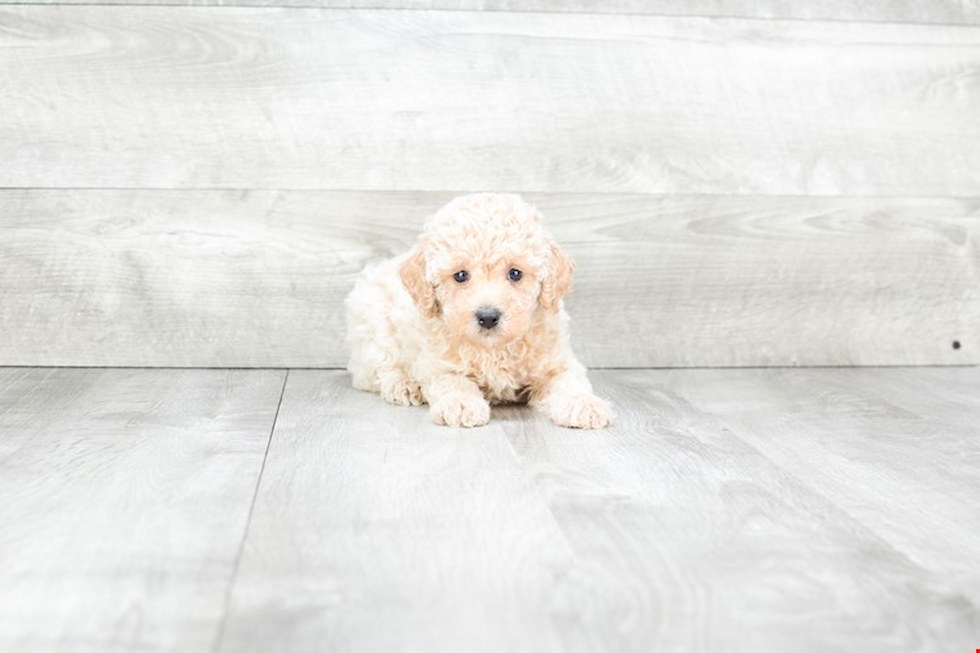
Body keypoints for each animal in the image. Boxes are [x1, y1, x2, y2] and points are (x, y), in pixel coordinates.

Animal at [344, 194, 612, 428]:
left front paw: (585, 405)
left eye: (515, 273)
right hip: (375, 329)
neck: (494, 349)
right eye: (461, 275)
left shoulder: (557, 362)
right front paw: (461, 404)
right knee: (377, 370)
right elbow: (453, 381)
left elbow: (569, 383)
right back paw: (404, 385)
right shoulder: (437, 363)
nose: (488, 316)